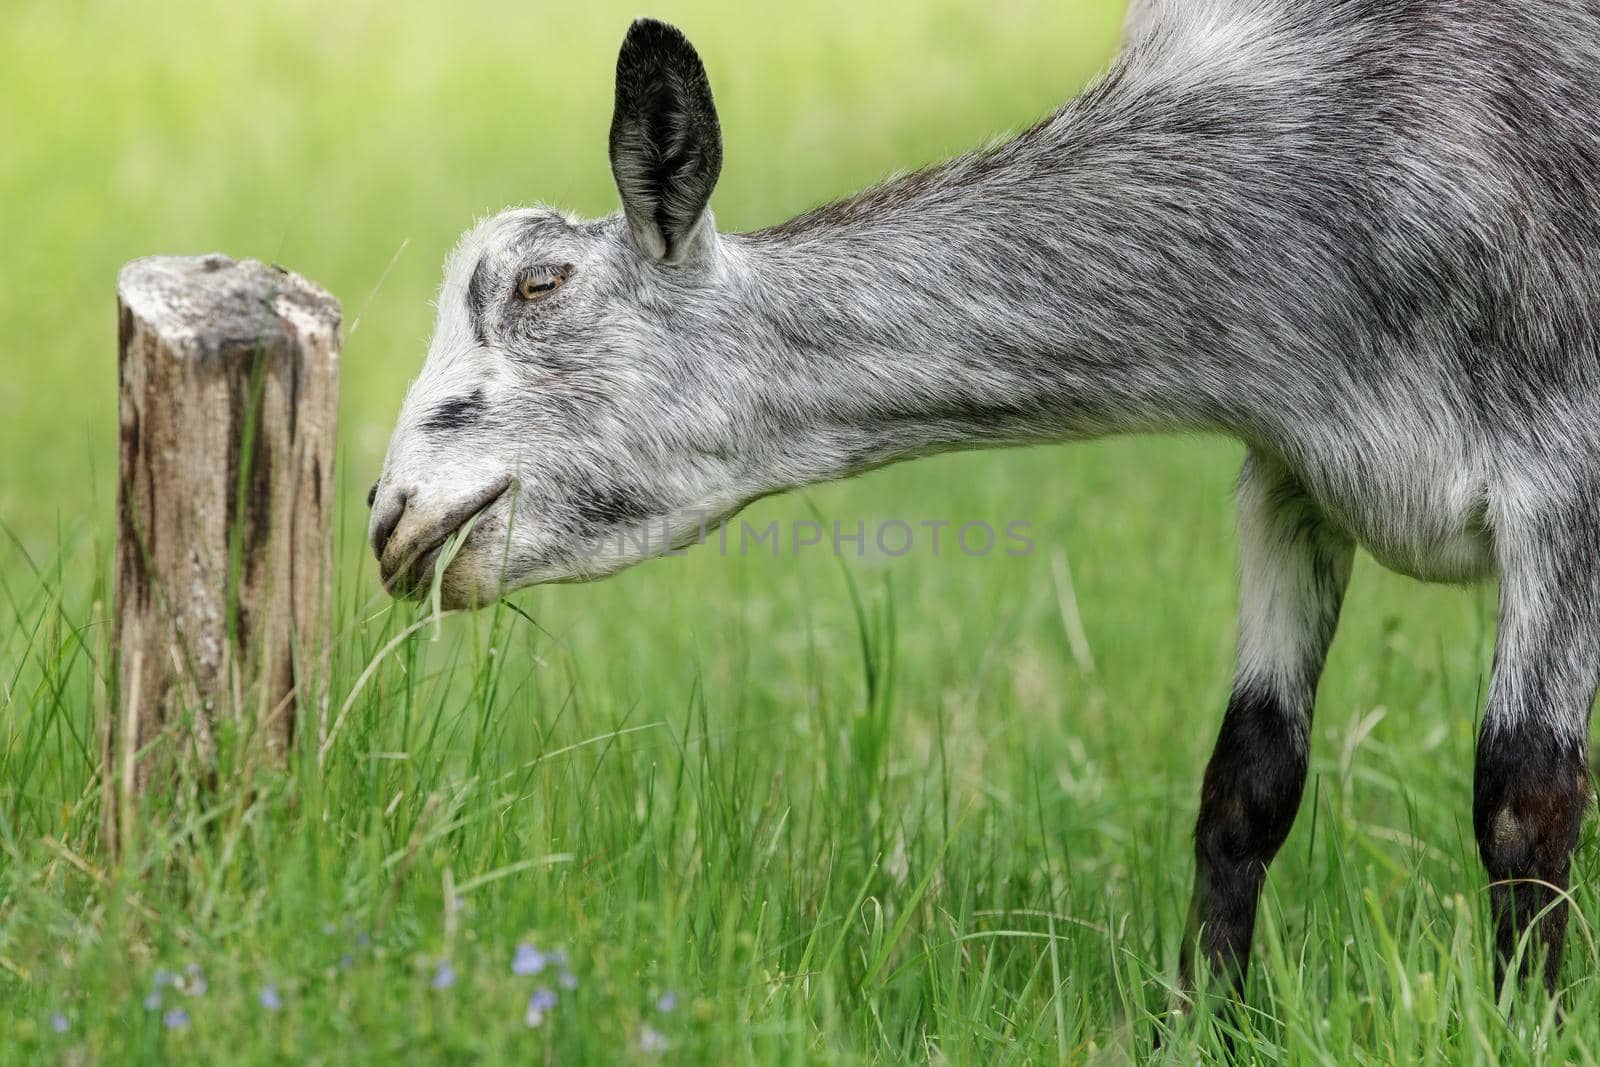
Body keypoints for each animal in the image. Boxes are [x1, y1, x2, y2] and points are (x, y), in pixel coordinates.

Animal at [368, 2, 1600, 1004]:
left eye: (540, 285)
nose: (392, 516)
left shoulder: (1564, 476)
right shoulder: (1290, 475)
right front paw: (1203, 1021)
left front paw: (1525, 1020)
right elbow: (1247, 783)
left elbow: (1523, 796)